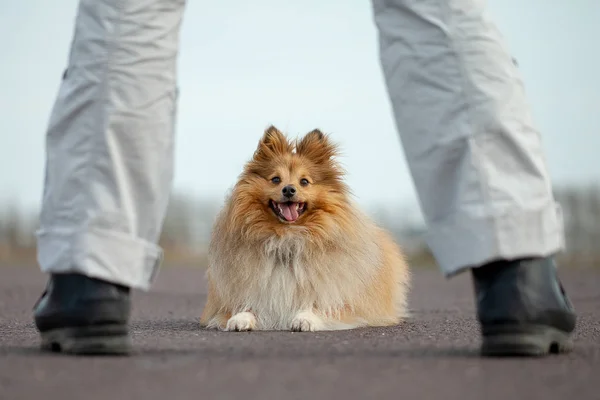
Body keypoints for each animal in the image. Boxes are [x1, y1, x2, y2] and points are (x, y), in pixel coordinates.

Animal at [199, 127, 410, 332]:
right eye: (275, 179)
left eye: (304, 182)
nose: (289, 190)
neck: (287, 238)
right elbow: (246, 307)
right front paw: (239, 319)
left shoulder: (340, 300)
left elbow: (318, 307)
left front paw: (305, 319)